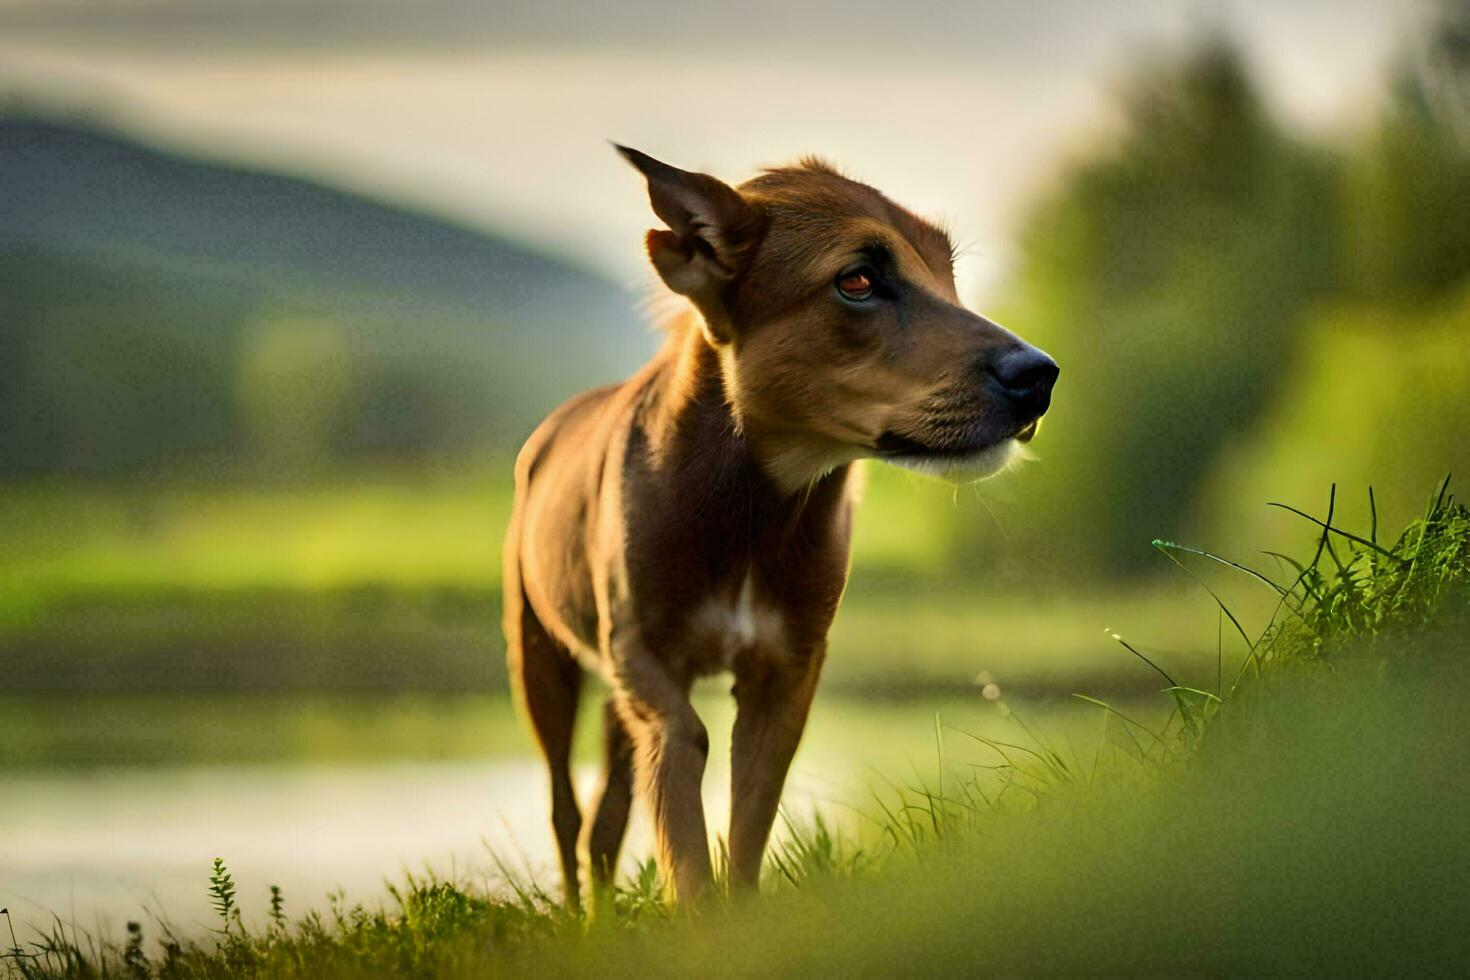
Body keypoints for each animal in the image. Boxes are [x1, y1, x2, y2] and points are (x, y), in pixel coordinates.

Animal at [505, 145, 1058, 905]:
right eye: (857, 280)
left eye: (947, 270)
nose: (1040, 376)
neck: (752, 509)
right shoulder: (641, 655)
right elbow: (683, 766)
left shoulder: (790, 667)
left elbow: (747, 818)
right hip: (540, 655)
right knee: (566, 810)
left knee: (604, 819)